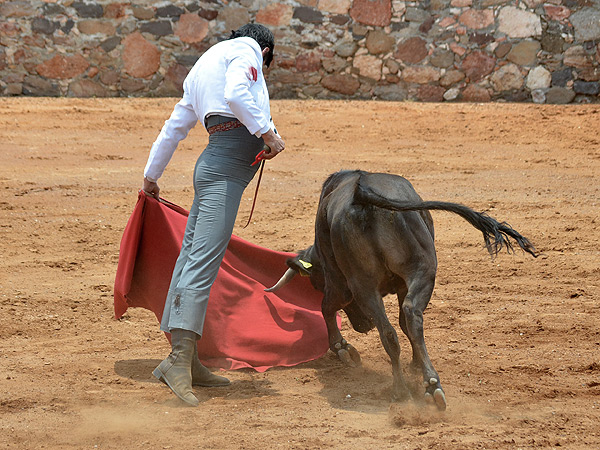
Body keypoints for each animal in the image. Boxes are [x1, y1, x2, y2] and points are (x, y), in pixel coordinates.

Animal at [268, 171, 540, 410]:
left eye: (316, 283)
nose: (362, 326)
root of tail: (361, 195)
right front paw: (345, 348)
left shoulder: (346, 282)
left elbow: (330, 306)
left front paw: (344, 349)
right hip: (408, 274)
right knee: (405, 319)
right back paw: (421, 387)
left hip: (375, 282)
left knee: (394, 325)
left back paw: (409, 387)